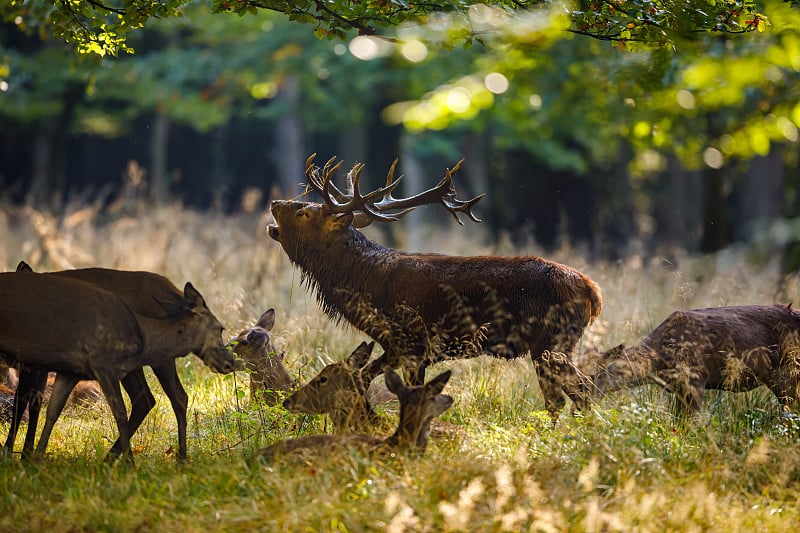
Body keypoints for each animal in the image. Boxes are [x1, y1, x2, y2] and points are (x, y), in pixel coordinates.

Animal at [0, 272, 236, 460]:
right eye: (220, 328)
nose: (230, 362)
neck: (143, 334)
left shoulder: (70, 371)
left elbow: (52, 411)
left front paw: (35, 459)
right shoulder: (102, 364)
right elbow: (120, 413)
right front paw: (130, 463)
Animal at [268, 152, 600, 418]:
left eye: (303, 212)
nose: (274, 202)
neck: (364, 283)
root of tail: (591, 289)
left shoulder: (412, 342)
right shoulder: (396, 346)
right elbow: (363, 377)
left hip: (551, 340)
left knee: (575, 393)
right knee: (574, 393)